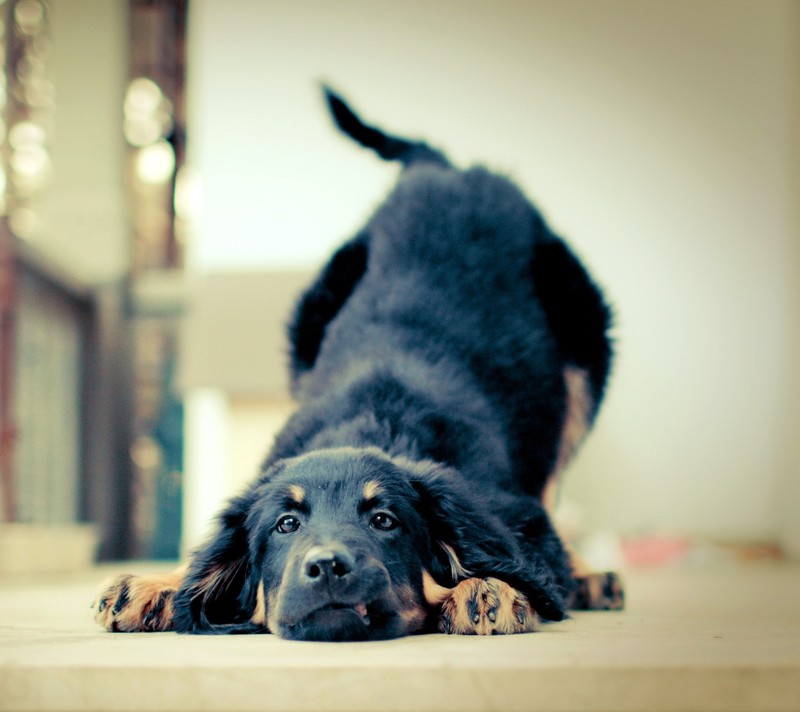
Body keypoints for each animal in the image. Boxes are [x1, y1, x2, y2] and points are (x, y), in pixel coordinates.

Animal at [92, 87, 620, 640]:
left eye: (384, 520)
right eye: (286, 525)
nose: (327, 565)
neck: (377, 423)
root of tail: (447, 170)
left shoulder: (512, 508)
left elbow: (524, 548)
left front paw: (491, 585)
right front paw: (156, 583)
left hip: (585, 349)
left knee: (556, 478)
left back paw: (590, 576)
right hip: (311, 322)